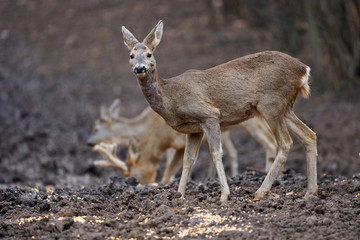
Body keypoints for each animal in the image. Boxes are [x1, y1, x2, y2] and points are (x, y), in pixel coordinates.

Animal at [88, 99, 278, 184]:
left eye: (133, 175)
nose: (88, 143)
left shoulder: (179, 142)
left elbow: (168, 171)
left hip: (252, 122)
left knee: (270, 144)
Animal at [121, 20, 318, 202]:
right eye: (131, 55)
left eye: (149, 54)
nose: (140, 68)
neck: (171, 96)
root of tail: (304, 70)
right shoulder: (193, 130)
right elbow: (188, 160)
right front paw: (179, 195)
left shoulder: (209, 115)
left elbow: (216, 153)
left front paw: (224, 195)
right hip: (285, 107)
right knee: (309, 135)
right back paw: (310, 192)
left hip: (271, 104)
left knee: (285, 143)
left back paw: (261, 192)